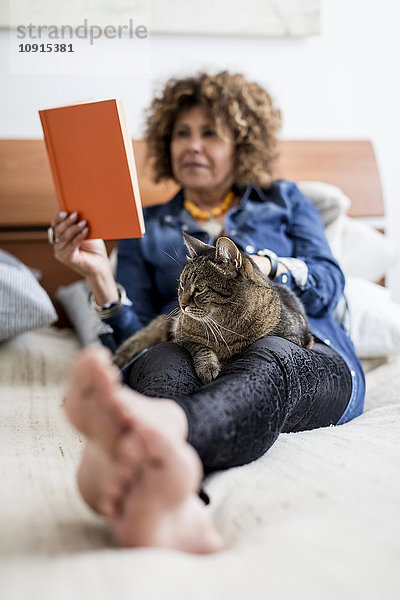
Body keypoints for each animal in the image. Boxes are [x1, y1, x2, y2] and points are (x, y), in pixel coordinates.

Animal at [111, 232, 312, 382]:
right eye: (182, 284)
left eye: (199, 289)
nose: (181, 305)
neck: (225, 325)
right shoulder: (181, 335)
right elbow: (201, 348)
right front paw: (209, 367)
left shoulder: (298, 337)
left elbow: (241, 351)